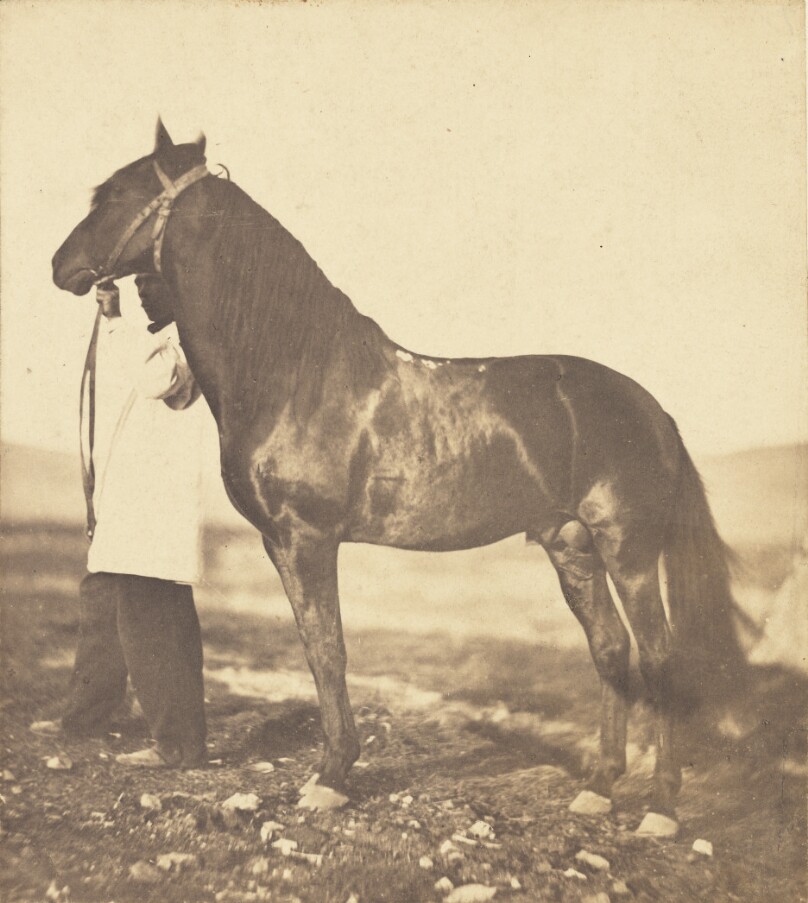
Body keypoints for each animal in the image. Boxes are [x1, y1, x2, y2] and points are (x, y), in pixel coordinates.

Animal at [52, 120, 746, 832]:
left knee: (658, 658)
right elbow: (316, 648)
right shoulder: (281, 543)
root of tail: (652, 409)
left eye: (117, 194)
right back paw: (599, 788)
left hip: (628, 550)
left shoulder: (308, 539)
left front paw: (330, 778)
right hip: (571, 546)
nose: (60, 266)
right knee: (610, 649)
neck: (294, 369)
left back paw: (660, 806)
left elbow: (329, 650)